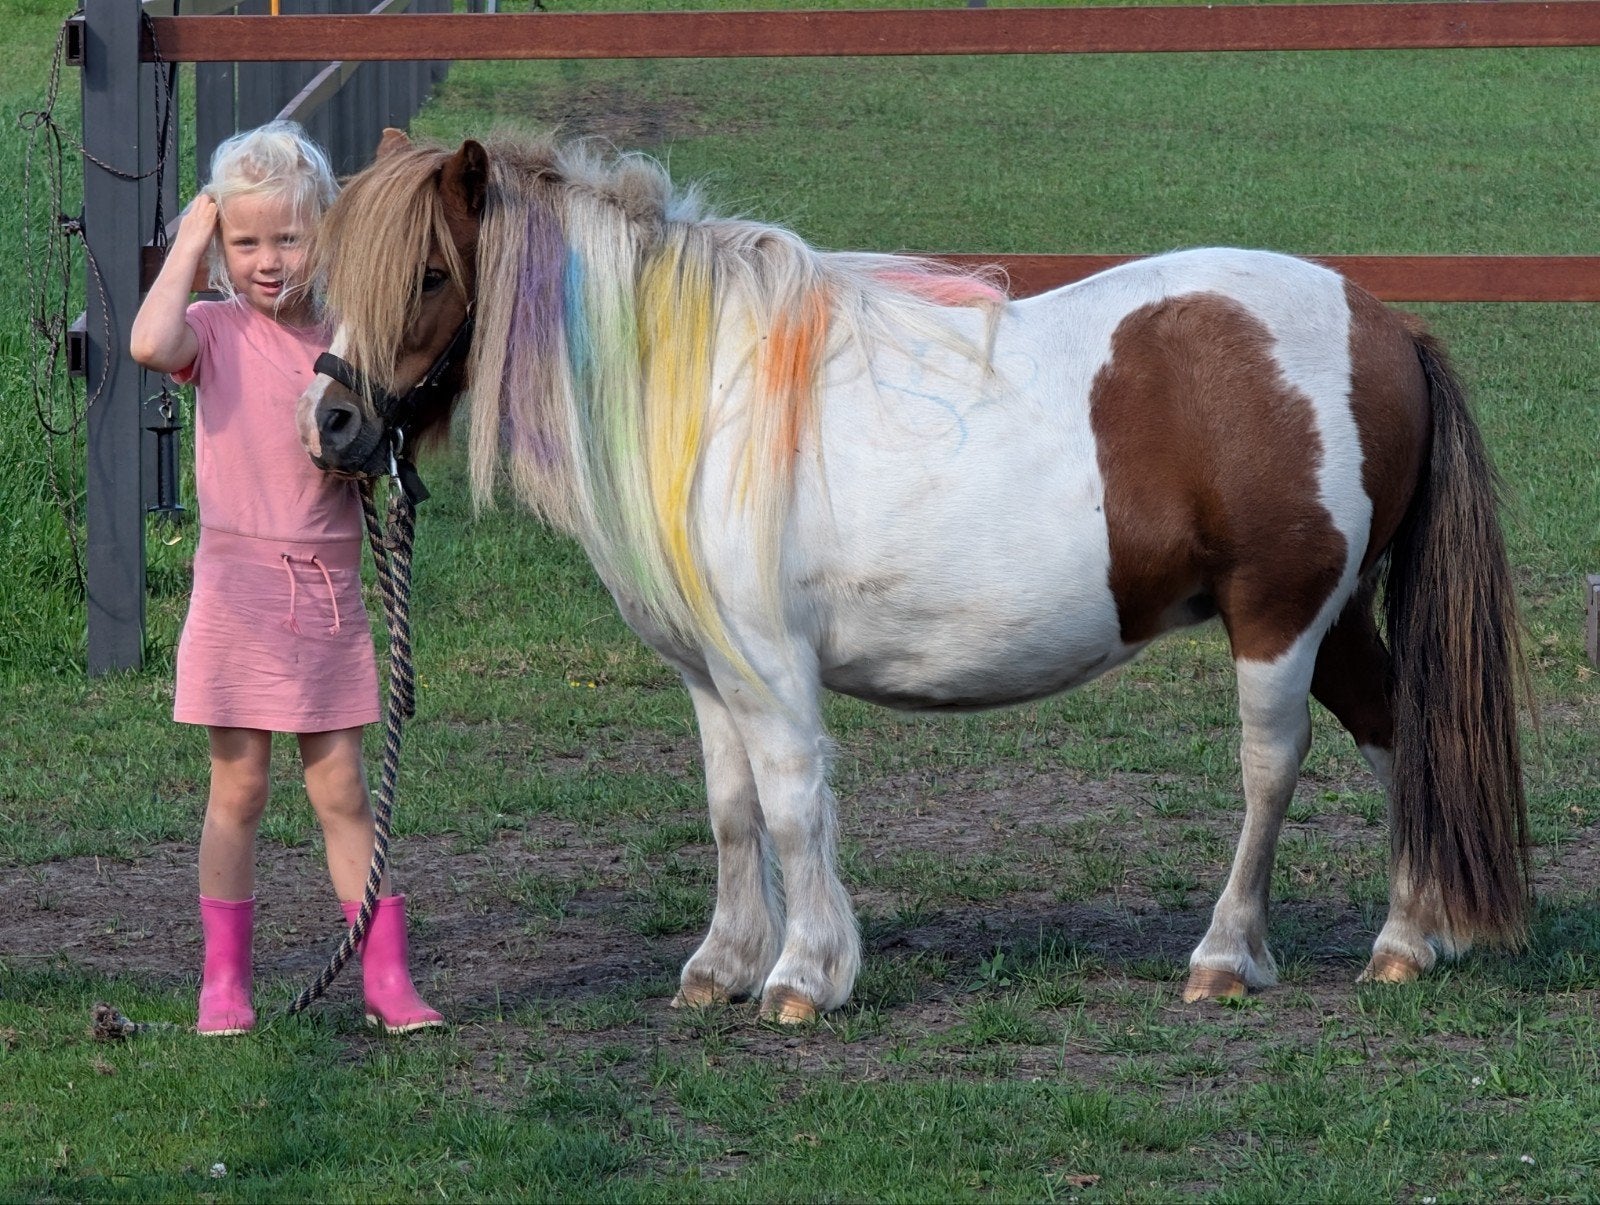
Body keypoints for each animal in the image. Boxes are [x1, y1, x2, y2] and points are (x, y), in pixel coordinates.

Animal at [297, 130, 1530, 1022]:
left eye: (428, 272)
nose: (334, 424)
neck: (706, 391)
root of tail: (1384, 322)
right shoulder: (710, 674)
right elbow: (732, 811)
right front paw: (720, 965)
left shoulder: (769, 667)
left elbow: (793, 805)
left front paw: (802, 975)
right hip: (1337, 618)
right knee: (1399, 732)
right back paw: (1409, 938)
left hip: (1279, 618)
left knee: (1271, 768)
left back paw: (1228, 954)